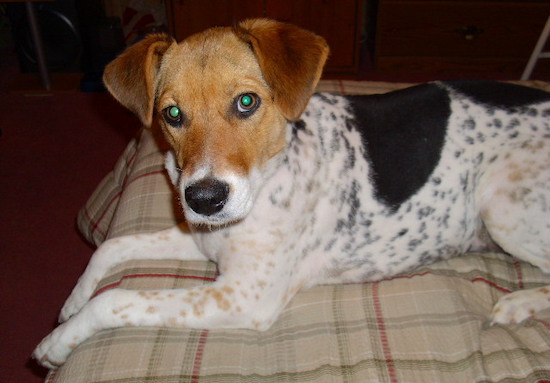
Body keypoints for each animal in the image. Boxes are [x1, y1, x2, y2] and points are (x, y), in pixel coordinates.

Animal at [34, 18, 550, 368]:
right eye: (172, 114)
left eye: (247, 102)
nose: (205, 199)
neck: (271, 172)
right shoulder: (201, 238)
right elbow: (112, 247)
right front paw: (70, 304)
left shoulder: (243, 296)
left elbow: (116, 300)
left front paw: (58, 342)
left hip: (502, 205)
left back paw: (516, 304)